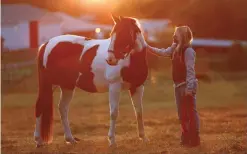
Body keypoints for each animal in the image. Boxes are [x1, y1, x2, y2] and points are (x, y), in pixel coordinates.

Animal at [33, 14, 150, 148]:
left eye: (123, 34)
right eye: (112, 34)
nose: (110, 59)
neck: (131, 60)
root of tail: (46, 44)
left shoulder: (138, 87)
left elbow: (139, 111)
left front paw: (144, 138)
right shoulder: (114, 87)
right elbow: (114, 113)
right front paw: (112, 141)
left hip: (67, 86)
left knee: (63, 108)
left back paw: (70, 139)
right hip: (49, 83)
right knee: (40, 105)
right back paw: (38, 141)